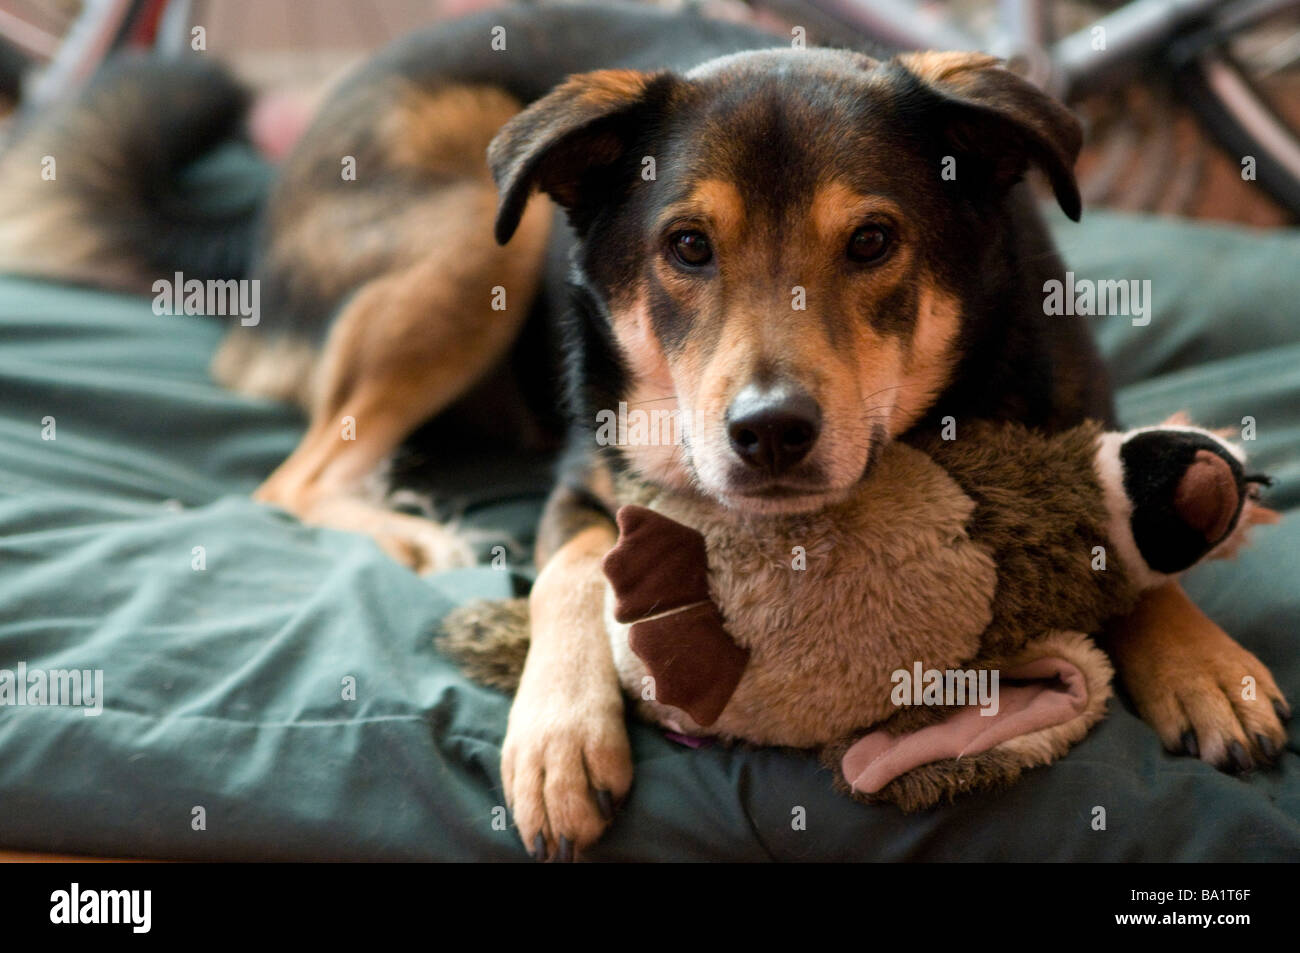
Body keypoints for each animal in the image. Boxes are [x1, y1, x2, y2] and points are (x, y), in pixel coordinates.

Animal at [0, 0, 1279, 863]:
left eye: (873, 242)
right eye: (687, 247)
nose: (770, 434)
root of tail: (252, 221)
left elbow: (1134, 531)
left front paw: (1202, 660)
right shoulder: (588, 474)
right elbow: (578, 564)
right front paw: (559, 729)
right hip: (486, 229)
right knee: (294, 472)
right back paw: (409, 534)